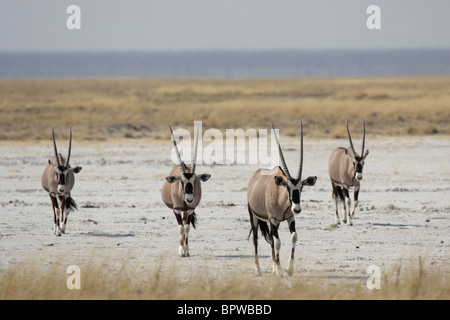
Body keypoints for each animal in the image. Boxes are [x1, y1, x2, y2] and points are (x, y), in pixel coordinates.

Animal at [162, 124, 211, 256]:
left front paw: (187, 250)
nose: (189, 199)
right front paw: (181, 251)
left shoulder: (189, 210)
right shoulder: (176, 209)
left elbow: (187, 228)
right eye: (181, 181)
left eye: (195, 181)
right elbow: (181, 228)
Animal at [248, 121, 318, 276]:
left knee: (271, 240)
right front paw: (280, 270)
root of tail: (254, 176)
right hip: (254, 216)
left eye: (301, 187)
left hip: (275, 222)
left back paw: (273, 267)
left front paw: (288, 269)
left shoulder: (289, 218)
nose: (297, 209)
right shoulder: (273, 219)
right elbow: (278, 242)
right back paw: (257, 269)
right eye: (287, 187)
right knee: (256, 239)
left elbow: (293, 237)